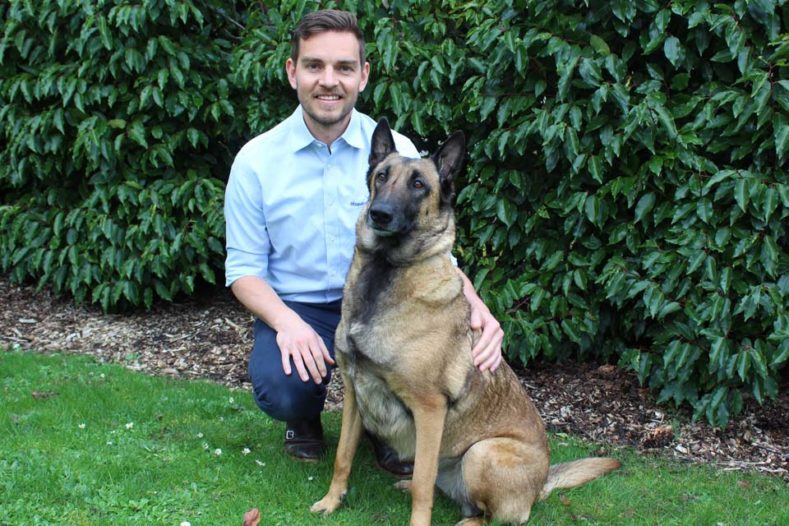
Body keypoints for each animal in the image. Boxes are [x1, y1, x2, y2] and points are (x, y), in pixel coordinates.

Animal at [310, 119, 620, 526]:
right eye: (381, 177)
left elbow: (423, 484)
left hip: (481, 453)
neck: (386, 272)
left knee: (489, 515)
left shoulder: (429, 409)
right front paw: (332, 501)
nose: (379, 214)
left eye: (419, 185)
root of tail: (540, 487)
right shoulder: (354, 393)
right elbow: (343, 456)